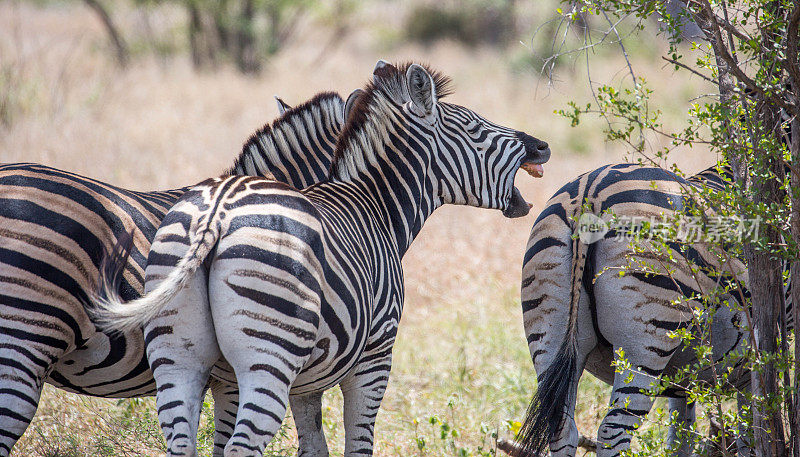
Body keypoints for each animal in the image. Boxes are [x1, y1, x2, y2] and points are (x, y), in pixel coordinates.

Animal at [87, 60, 552, 456]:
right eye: (475, 127)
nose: (543, 146)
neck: (376, 206)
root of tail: (218, 209)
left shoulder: (305, 381)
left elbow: (313, 445)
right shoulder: (375, 356)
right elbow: (357, 443)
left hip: (177, 357)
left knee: (183, 440)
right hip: (267, 357)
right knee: (242, 445)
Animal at [512, 162, 792, 454]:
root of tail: (589, 190)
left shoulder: (685, 374)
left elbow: (682, 436)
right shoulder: (754, 360)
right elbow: (752, 432)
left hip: (548, 333)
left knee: (562, 429)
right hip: (644, 341)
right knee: (613, 431)